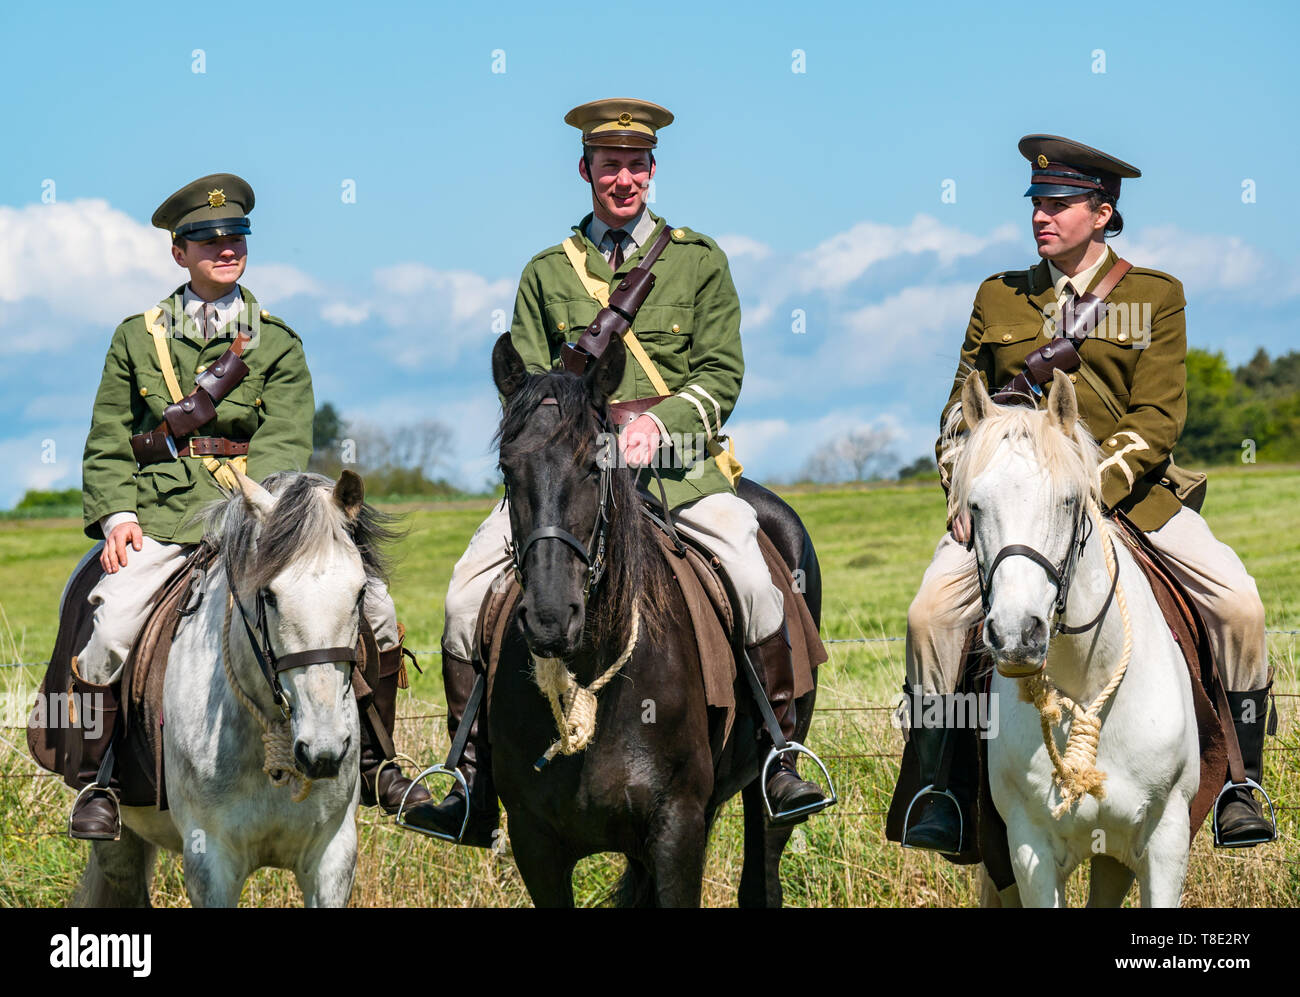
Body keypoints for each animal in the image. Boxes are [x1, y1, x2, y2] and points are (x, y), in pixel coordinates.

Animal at [75, 473, 384, 909]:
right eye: (269, 595)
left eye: (360, 593)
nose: (323, 750)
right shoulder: (211, 862)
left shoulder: (333, 856)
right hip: (117, 846)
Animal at [956, 369, 1196, 909]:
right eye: (975, 506)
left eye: (1068, 501)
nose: (1016, 635)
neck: (1089, 682)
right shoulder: (1028, 850)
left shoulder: (1167, 839)